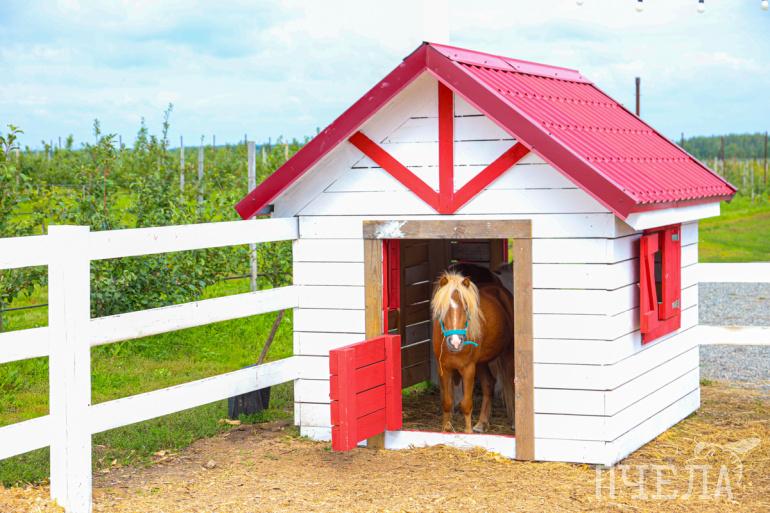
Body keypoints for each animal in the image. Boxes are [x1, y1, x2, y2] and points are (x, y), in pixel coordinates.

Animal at [431, 270, 515, 433]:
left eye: (466, 308)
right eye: (443, 309)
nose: (455, 342)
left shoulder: (468, 369)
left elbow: (466, 404)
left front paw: (468, 432)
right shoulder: (444, 368)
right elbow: (447, 402)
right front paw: (445, 429)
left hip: (508, 353)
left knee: (512, 382)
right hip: (481, 362)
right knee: (489, 384)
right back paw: (482, 423)